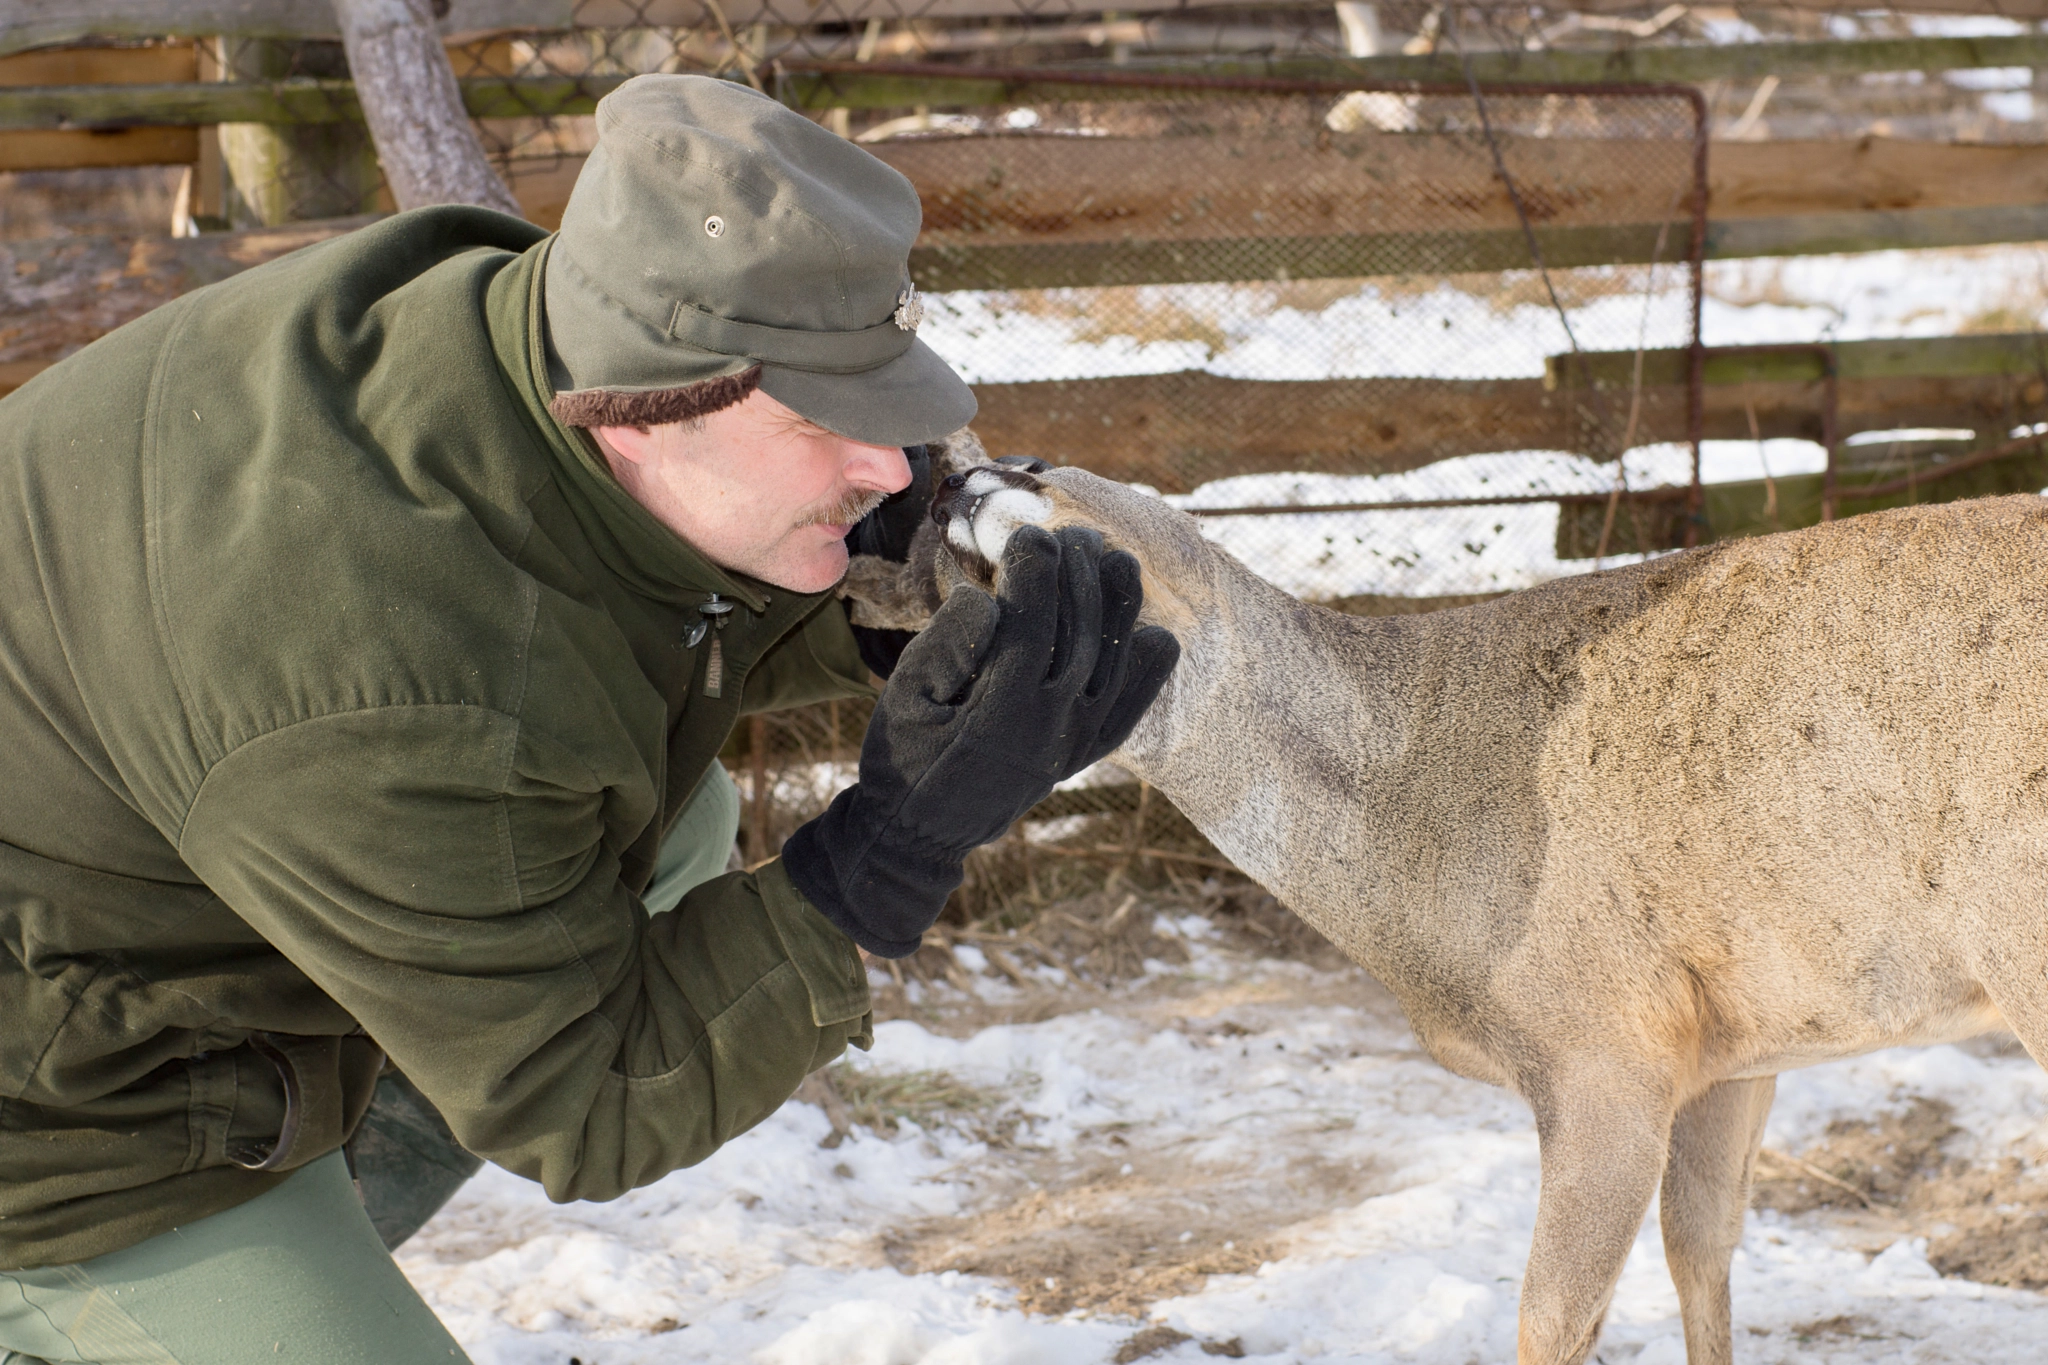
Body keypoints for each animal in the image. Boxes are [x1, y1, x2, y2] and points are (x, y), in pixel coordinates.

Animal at [836, 436, 2048, 1365]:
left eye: (1043, 470)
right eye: (959, 594)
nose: (957, 480)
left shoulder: (1602, 1044)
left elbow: (1549, 1323)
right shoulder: (1734, 1040)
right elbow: (1699, 1253)